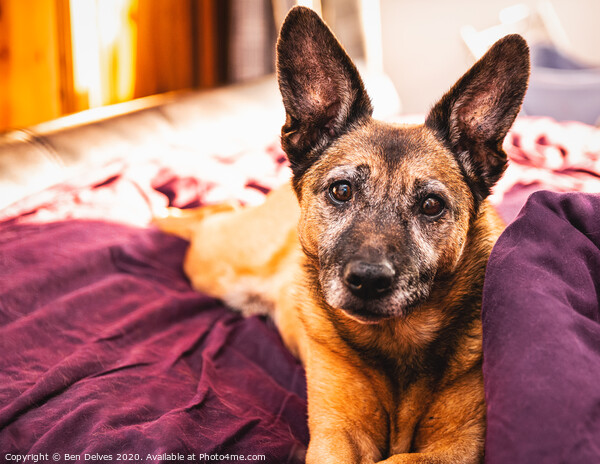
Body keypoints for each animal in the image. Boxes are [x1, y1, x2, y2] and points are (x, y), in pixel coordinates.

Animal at [156, 7, 528, 464]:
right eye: (342, 190)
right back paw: (162, 212)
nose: (368, 280)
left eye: (431, 205)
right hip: (213, 265)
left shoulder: (458, 445)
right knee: (214, 214)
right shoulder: (339, 435)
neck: (395, 344)